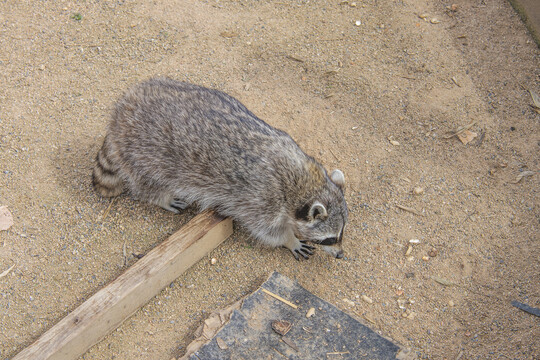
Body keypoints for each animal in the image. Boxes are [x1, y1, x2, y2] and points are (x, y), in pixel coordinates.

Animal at [92, 78, 350, 258]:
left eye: (341, 233)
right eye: (329, 239)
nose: (340, 255)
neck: (304, 180)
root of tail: (121, 109)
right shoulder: (261, 201)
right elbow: (267, 231)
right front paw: (290, 241)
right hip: (143, 152)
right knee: (147, 183)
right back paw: (160, 197)